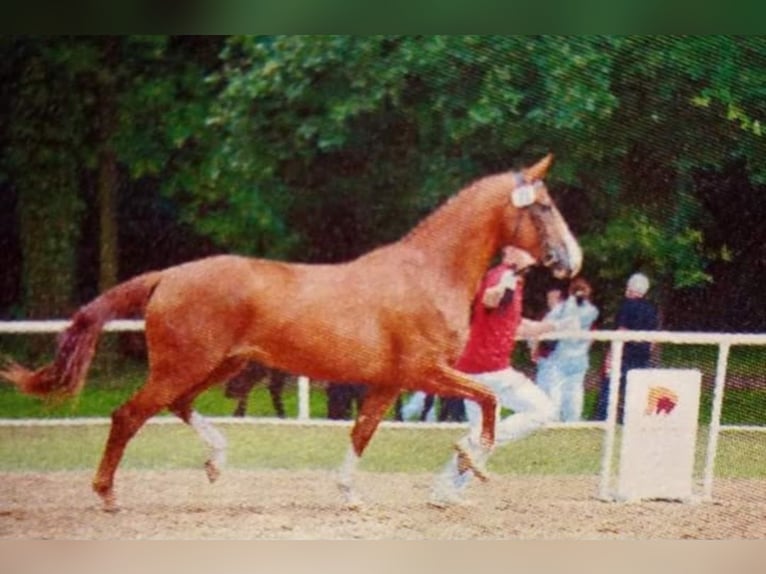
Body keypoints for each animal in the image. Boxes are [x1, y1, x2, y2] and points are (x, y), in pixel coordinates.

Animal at [3, 154, 584, 512]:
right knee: (129, 415)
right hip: (186, 365)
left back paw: (215, 462)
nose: (571, 261)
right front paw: (474, 461)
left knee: (176, 406)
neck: (427, 274)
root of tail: (167, 276)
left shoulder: (391, 381)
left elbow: (363, 431)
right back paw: (107, 494)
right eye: (545, 206)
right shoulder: (426, 372)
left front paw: (349, 493)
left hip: (222, 365)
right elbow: (487, 400)